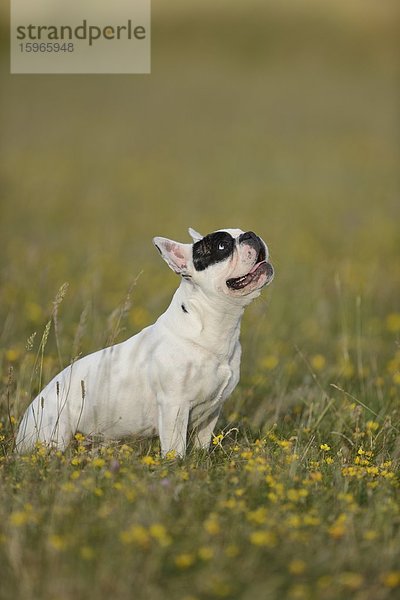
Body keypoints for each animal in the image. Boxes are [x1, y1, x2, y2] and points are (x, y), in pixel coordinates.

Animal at [15, 227, 274, 458]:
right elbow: (175, 449)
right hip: (56, 432)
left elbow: (202, 443)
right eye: (222, 246)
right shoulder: (174, 406)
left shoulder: (211, 412)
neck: (214, 325)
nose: (251, 235)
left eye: (242, 231)